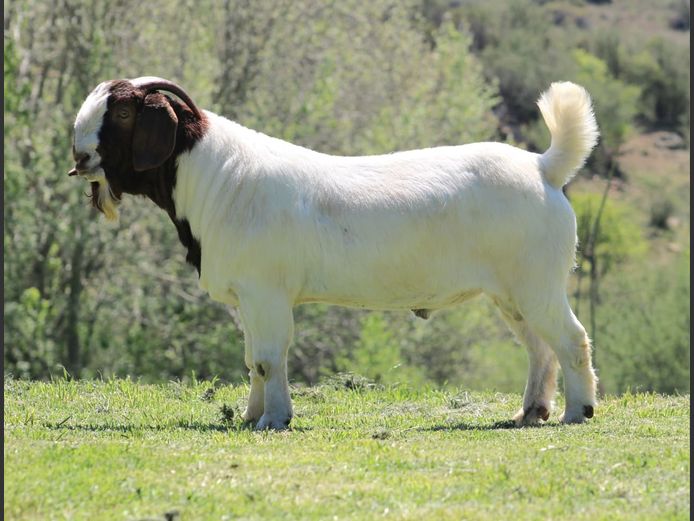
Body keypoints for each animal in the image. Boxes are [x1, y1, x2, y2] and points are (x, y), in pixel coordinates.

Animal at [69, 77, 599, 430]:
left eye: (122, 113)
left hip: (537, 283)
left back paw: (577, 412)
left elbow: (268, 358)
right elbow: (252, 360)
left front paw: (274, 420)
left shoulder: (266, 293)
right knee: (539, 348)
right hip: (511, 293)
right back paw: (530, 412)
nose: (79, 156)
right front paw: (251, 416)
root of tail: (544, 167)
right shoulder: (248, 300)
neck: (220, 177)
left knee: (571, 340)